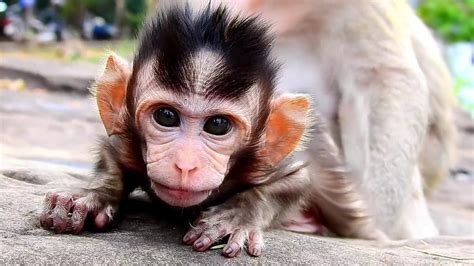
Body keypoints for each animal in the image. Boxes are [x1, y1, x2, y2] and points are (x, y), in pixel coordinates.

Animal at [39, 0, 382, 258]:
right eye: (166, 117)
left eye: (218, 125)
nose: (185, 164)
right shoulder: (130, 142)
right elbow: (112, 153)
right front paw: (89, 196)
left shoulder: (263, 160)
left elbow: (297, 180)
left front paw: (237, 215)